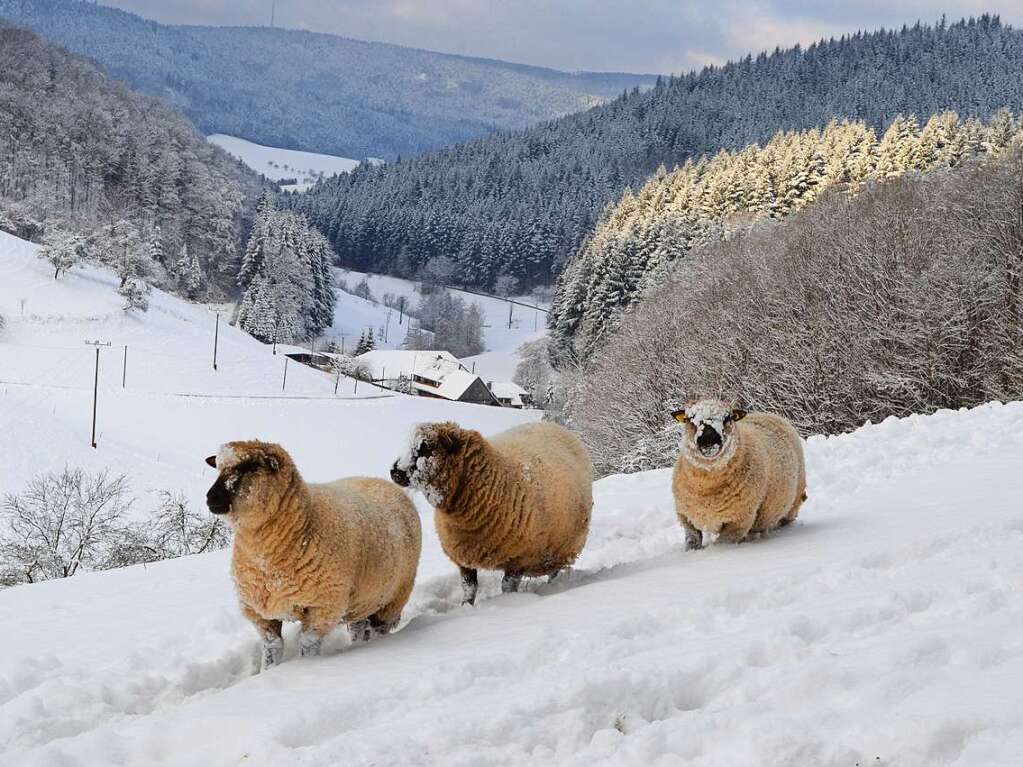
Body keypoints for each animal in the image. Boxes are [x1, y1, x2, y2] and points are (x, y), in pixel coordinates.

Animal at [205, 441, 421, 670]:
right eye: (219, 468)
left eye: (251, 466)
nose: (211, 497)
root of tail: (379, 481)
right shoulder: (259, 613)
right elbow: (272, 647)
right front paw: (269, 671)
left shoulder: (323, 607)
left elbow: (307, 644)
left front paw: (306, 668)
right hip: (363, 600)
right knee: (358, 627)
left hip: (394, 597)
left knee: (380, 627)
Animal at [392, 421, 597, 605]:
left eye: (425, 448)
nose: (394, 471)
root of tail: (557, 426)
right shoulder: (463, 558)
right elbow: (469, 587)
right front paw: (466, 607)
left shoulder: (519, 559)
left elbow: (507, 587)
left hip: (564, 545)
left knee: (554, 572)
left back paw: (552, 588)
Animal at [671, 398, 806, 548]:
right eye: (690, 419)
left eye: (727, 418)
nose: (708, 439)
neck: (706, 488)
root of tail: (770, 414)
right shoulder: (686, 517)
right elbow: (692, 541)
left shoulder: (739, 521)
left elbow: (722, 544)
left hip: (794, 500)